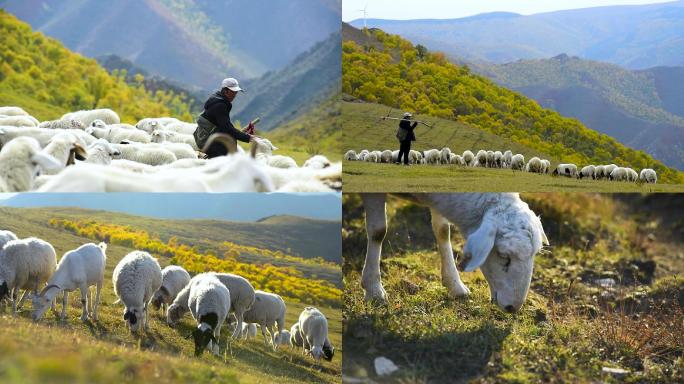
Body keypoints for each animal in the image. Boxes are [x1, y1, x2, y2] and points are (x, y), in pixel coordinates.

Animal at [360, 194, 548, 314]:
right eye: (503, 256)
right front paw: (374, 290)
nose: (513, 308)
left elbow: (443, 230)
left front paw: (455, 285)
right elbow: (378, 231)